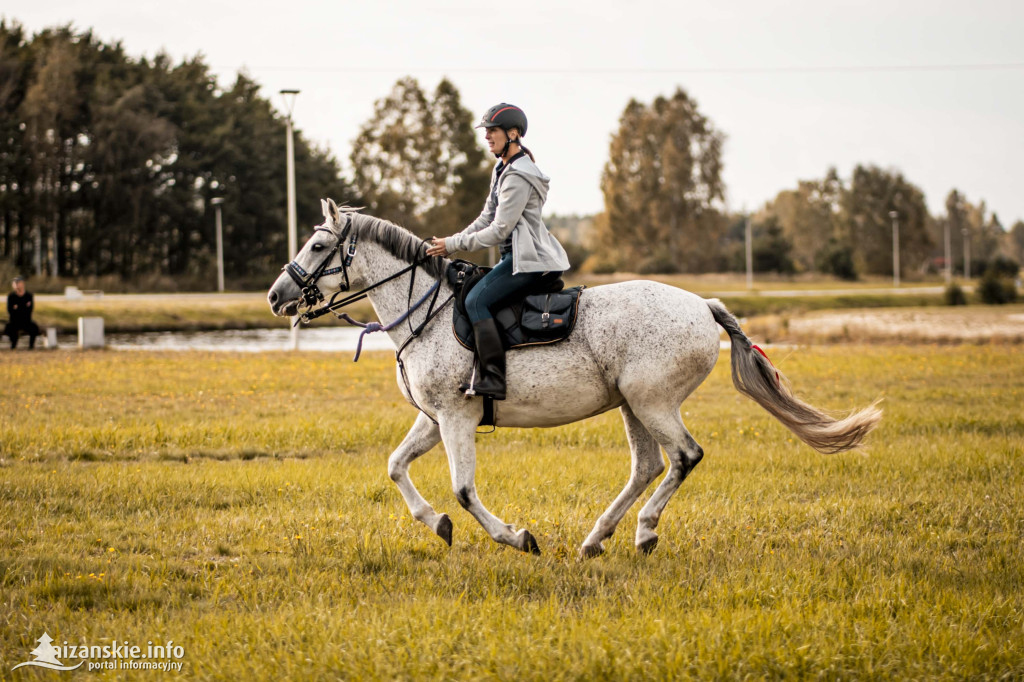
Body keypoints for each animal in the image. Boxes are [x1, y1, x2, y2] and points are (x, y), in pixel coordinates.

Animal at [270, 199, 880, 557]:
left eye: (318, 245)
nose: (277, 296)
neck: (430, 313)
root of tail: (702, 306)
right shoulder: (436, 418)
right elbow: (396, 467)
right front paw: (437, 524)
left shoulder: (457, 418)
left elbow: (464, 490)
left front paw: (516, 537)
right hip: (633, 405)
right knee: (648, 466)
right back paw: (596, 538)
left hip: (652, 402)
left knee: (683, 457)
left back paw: (643, 530)